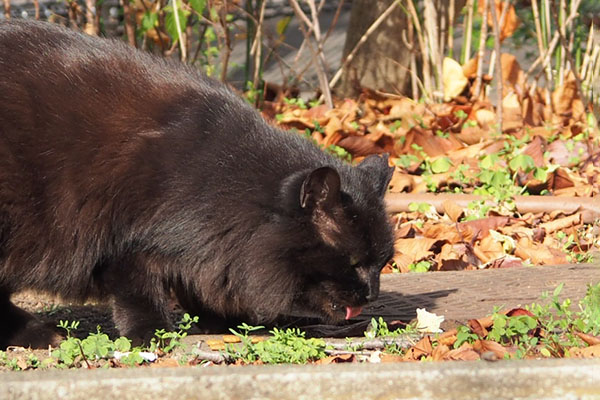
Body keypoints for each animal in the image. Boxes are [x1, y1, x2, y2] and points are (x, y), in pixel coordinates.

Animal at [0, 20, 394, 348]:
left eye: (382, 263)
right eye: (354, 262)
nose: (372, 294)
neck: (225, 181)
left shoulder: (206, 251)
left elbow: (204, 286)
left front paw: (226, 322)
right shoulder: (128, 243)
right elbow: (140, 293)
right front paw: (151, 334)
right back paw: (39, 334)